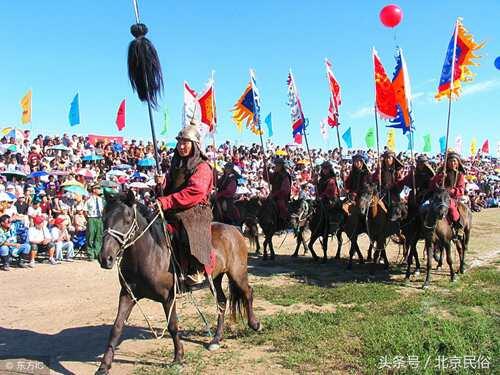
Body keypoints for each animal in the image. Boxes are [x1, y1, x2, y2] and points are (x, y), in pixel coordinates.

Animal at [95, 192, 264, 374]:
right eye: (104, 219)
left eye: (127, 220)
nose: (105, 258)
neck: (150, 253)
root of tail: (234, 229)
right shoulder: (127, 295)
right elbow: (116, 328)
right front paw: (104, 365)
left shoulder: (168, 297)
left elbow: (173, 326)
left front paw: (178, 357)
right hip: (216, 278)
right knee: (221, 302)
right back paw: (216, 339)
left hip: (237, 273)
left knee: (248, 293)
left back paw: (255, 325)